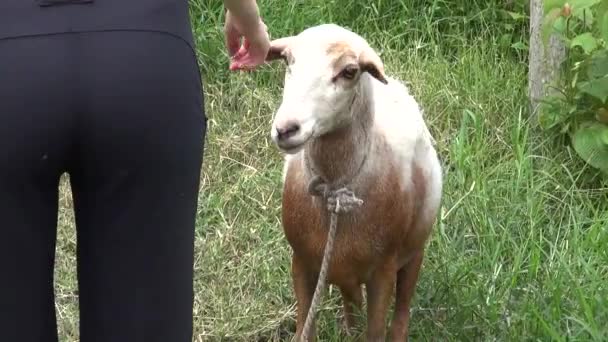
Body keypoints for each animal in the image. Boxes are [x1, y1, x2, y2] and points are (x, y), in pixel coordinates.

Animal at [264, 22, 442, 340]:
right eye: (288, 60)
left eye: (349, 72)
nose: (285, 129)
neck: (336, 186)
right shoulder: (301, 261)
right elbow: (304, 328)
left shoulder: (383, 271)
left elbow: (376, 331)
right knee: (351, 301)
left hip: (414, 251)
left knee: (402, 312)